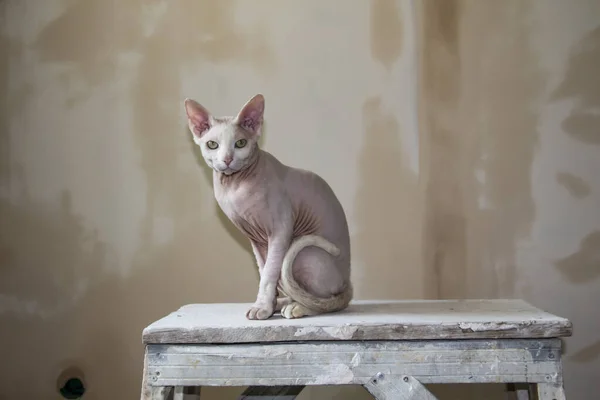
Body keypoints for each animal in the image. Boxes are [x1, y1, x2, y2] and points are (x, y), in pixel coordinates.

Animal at [183, 93, 352, 318]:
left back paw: (298, 307)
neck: (233, 185)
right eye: (212, 145)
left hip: (306, 253)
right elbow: (264, 270)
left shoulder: (280, 230)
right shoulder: (257, 240)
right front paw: (268, 306)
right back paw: (285, 302)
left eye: (240, 143)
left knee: (329, 302)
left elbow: (270, 273)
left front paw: (262, 308)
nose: (227, 159)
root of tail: (348, 283)